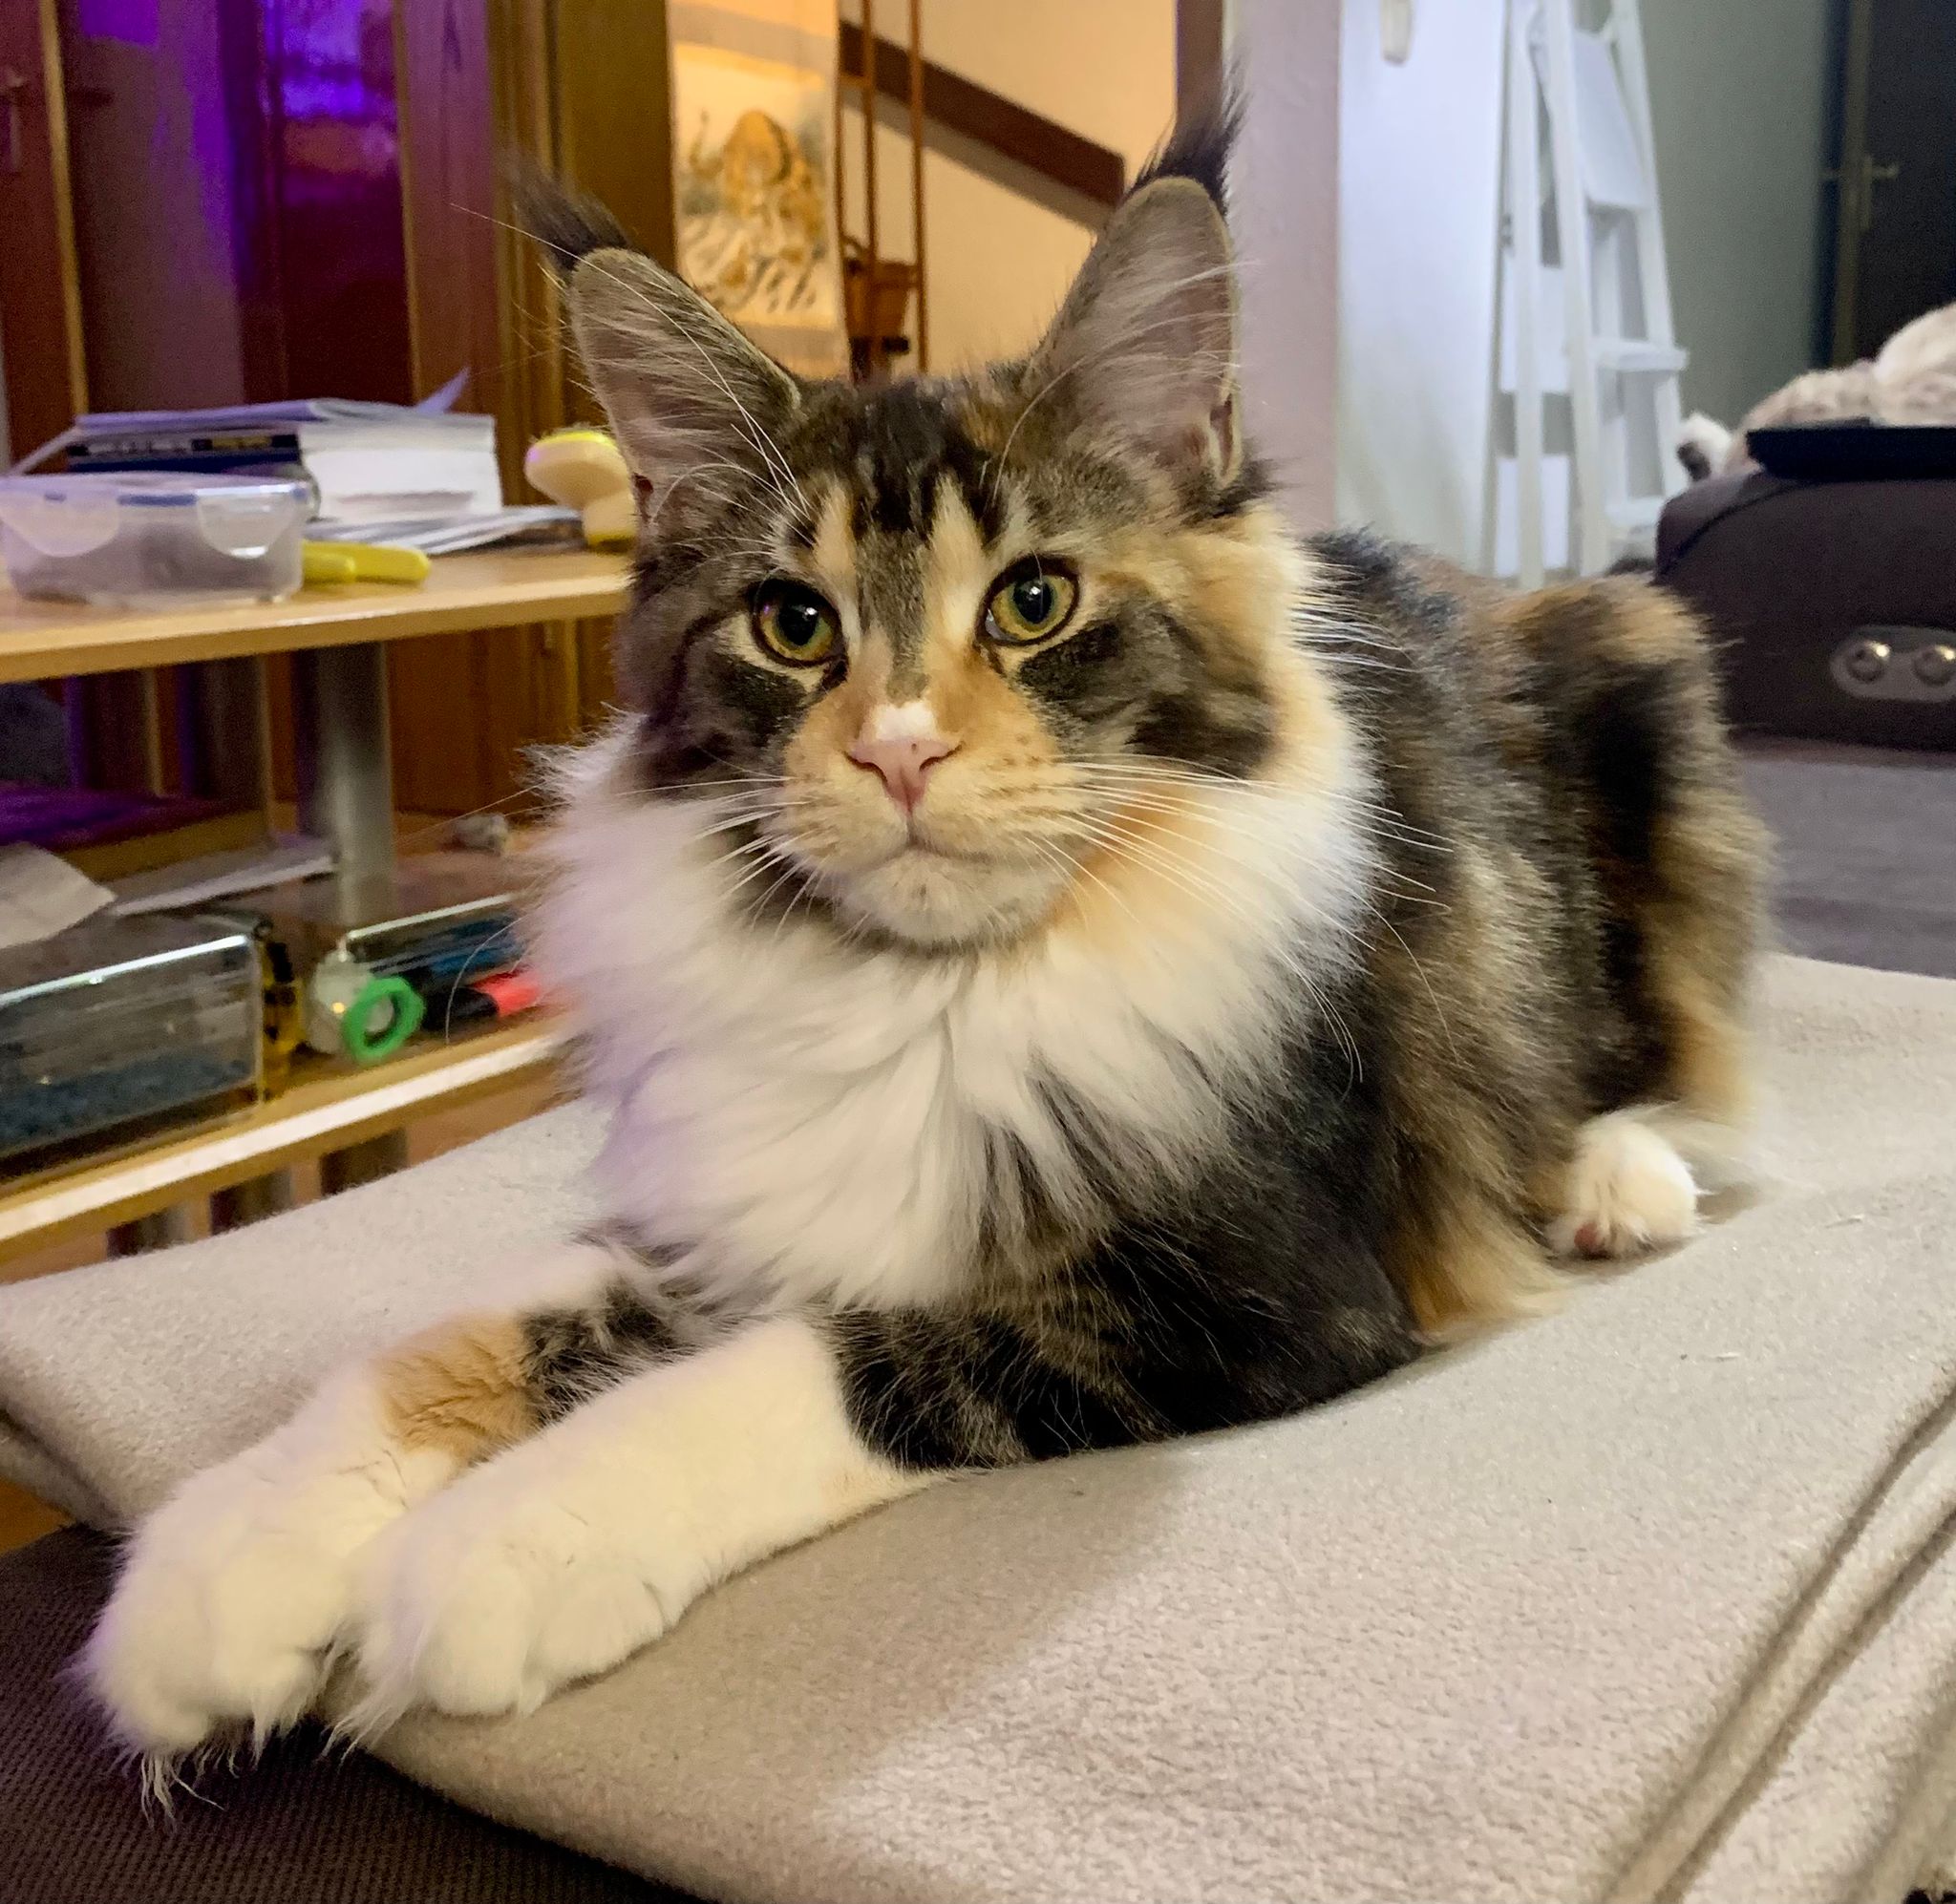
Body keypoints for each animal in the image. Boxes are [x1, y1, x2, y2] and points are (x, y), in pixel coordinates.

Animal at [87, 111, 1765, 1772]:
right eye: (793, 625)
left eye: (1033, 601)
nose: (899, 751)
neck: (928, 994)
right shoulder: (726, 1202)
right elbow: (457, 1339)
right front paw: (218, 1565)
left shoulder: (1257, 1285)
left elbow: (823, 1364)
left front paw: (494, 1549)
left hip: (1639, 689)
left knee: (1667, 1058)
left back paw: (1614, 1180)